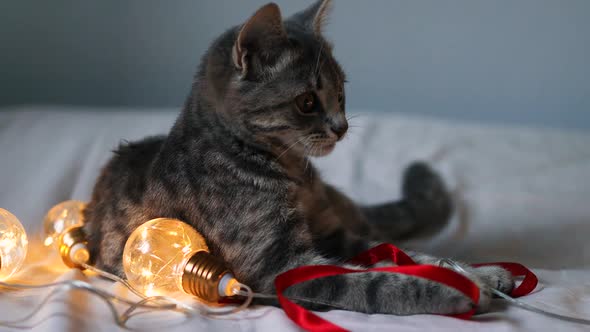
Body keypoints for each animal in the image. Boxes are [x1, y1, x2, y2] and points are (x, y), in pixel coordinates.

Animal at [83, 0, 512, 314]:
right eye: (307, 101)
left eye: (341, 93)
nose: (342, 126)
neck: (296, 177)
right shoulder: (277, 266)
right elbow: (370, 282)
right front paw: (455, 289)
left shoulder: (338, 236)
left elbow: (405, 254)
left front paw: (479, 273)